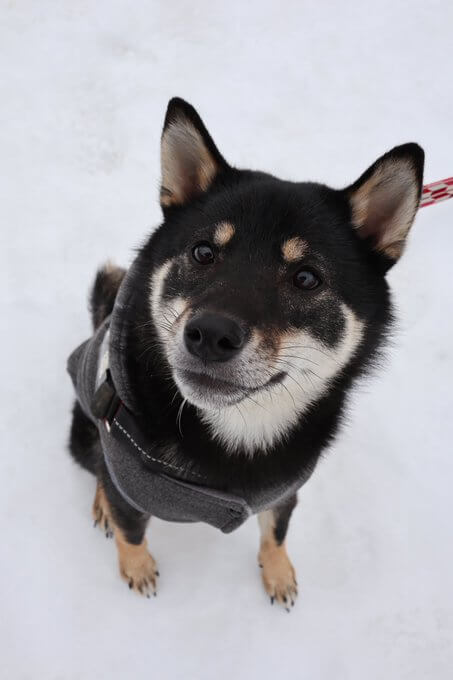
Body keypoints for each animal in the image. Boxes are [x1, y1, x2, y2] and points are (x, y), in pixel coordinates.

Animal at [68, 97, 424, 612]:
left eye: (306, 278)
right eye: (202, 252)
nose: (210, 334)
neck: (237, 436)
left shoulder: (286, 489)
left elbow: (276, 531)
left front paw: (278, 573)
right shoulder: (124, 480)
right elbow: (130, 530)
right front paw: (136, 567)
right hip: (85, 426)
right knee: (94, 463)